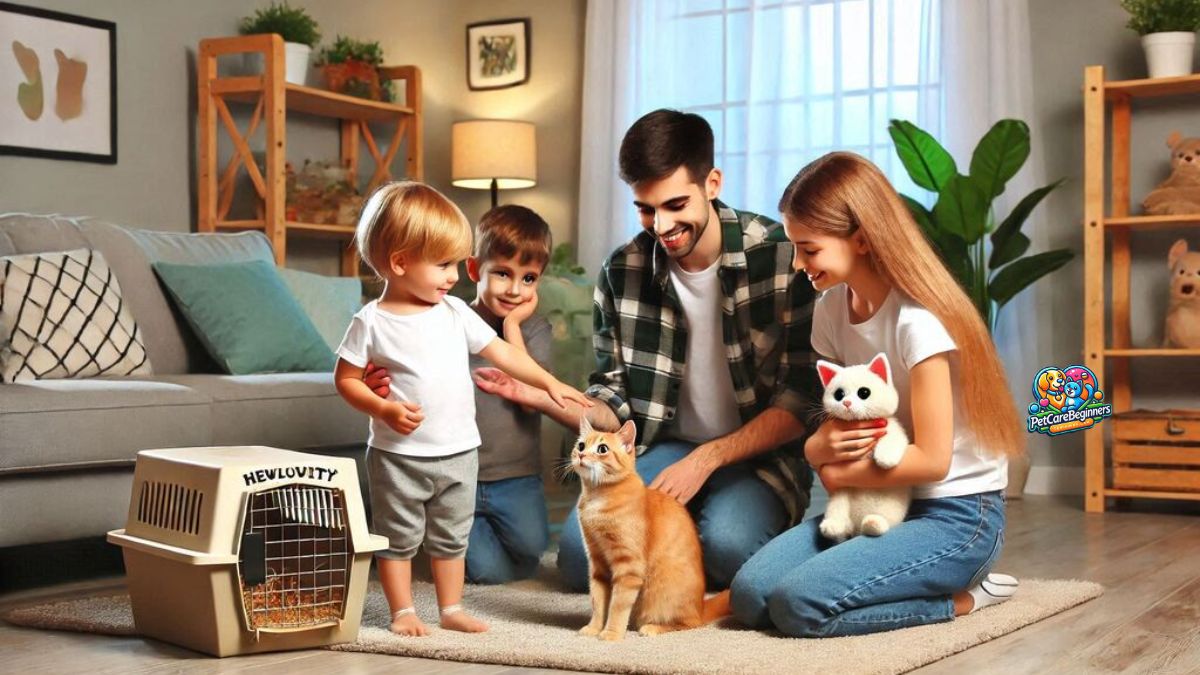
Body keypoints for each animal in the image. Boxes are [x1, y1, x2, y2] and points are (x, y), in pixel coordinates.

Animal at [571, 415, 729, 638]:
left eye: (602, 449)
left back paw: (652, 627)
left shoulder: (629, 566)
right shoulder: (597, 563)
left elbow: (617, 606)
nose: (581, 455)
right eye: (581, 445)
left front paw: (612, 634)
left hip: (663, 598)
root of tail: (701, 606)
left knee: (689, 623)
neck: (596, 498)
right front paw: (594, 628)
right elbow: (598, 601)